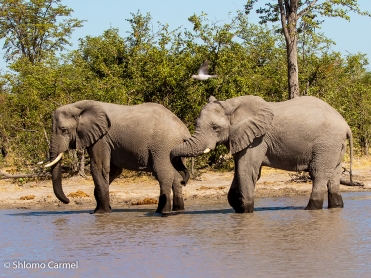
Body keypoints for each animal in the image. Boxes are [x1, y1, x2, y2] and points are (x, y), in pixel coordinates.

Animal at [46, 100, 190, 215]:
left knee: (163, 175)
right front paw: (99, 208)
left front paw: (101, 212)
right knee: (177, 177)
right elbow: (114, 170)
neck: (78, 107)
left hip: (163, 146)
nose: (68, 201)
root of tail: (184, 130)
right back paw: (178, 210)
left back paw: (162, 212)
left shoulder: (101, 139)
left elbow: (99, 168)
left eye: (64, 130)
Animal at [171, 95, 354, 213]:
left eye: (215, 128)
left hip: (326, 143)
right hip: (335, 146)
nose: (183, 181)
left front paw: (245, 211)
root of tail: (346, 125)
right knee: (334, 175)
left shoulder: (258, 138)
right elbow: (241, 171)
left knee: (318, 174)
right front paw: (237, 205)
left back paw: (310, 209)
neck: (231, 104)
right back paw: (337, 207)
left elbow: (246, 170)